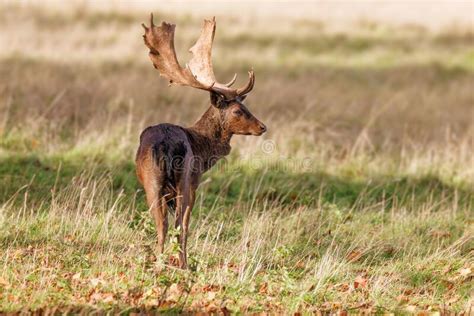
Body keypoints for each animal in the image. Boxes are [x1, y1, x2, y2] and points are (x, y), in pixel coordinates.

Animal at [135, 13, 266, 268]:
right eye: (237, 111)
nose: (262, 127)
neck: (202, 146)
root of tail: (166, 145)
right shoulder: (195, 180)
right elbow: (184, 225)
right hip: (185, 179)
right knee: (180, 224)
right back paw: (183, 265)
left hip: (152, 181)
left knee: (162, 223)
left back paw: (159, 263)